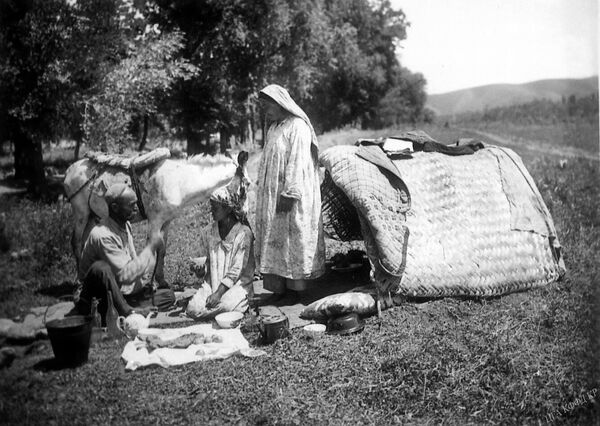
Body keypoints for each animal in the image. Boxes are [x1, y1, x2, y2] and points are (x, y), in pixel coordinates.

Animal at [61, 150, 248, 286]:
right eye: (246, 186)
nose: (244, 215)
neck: (179, 182)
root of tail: (70, 169)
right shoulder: (155, 220)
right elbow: (151, 247)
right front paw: (149, 283)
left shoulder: (166, 221)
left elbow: (162, 249)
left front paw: (161, 281)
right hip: (81, 213)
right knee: (76, 242)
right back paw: (80, 280)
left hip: (92, 215)